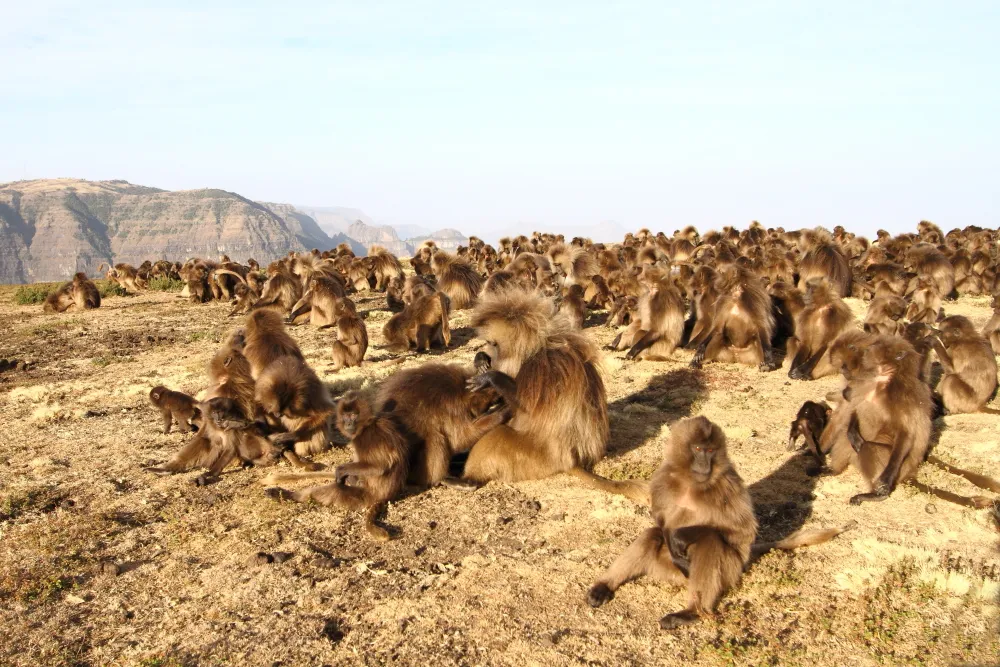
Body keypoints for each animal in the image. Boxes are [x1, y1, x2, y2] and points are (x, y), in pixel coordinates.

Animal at [263, 392, 409, 541]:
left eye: (353, 415)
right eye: (345, 416)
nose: (348, 423)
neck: (367, 425)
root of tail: (385, 497)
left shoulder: (367, 436)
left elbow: (379, 466)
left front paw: (341, 471)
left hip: (363, 496)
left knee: (335, 490)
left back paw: (285, 494)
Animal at [587, 417, 844, 629]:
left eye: (710, 450)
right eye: (698, 449)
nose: (705, 464)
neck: (691, 481)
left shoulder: (728, 484)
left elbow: (740, 532)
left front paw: (681, 537)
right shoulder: (662, 478)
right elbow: (660, 520)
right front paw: (670, 536)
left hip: (729, 570)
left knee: (710, 541)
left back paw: (692, 611)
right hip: (665, 566)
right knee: (652, 535)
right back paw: (604, 586)